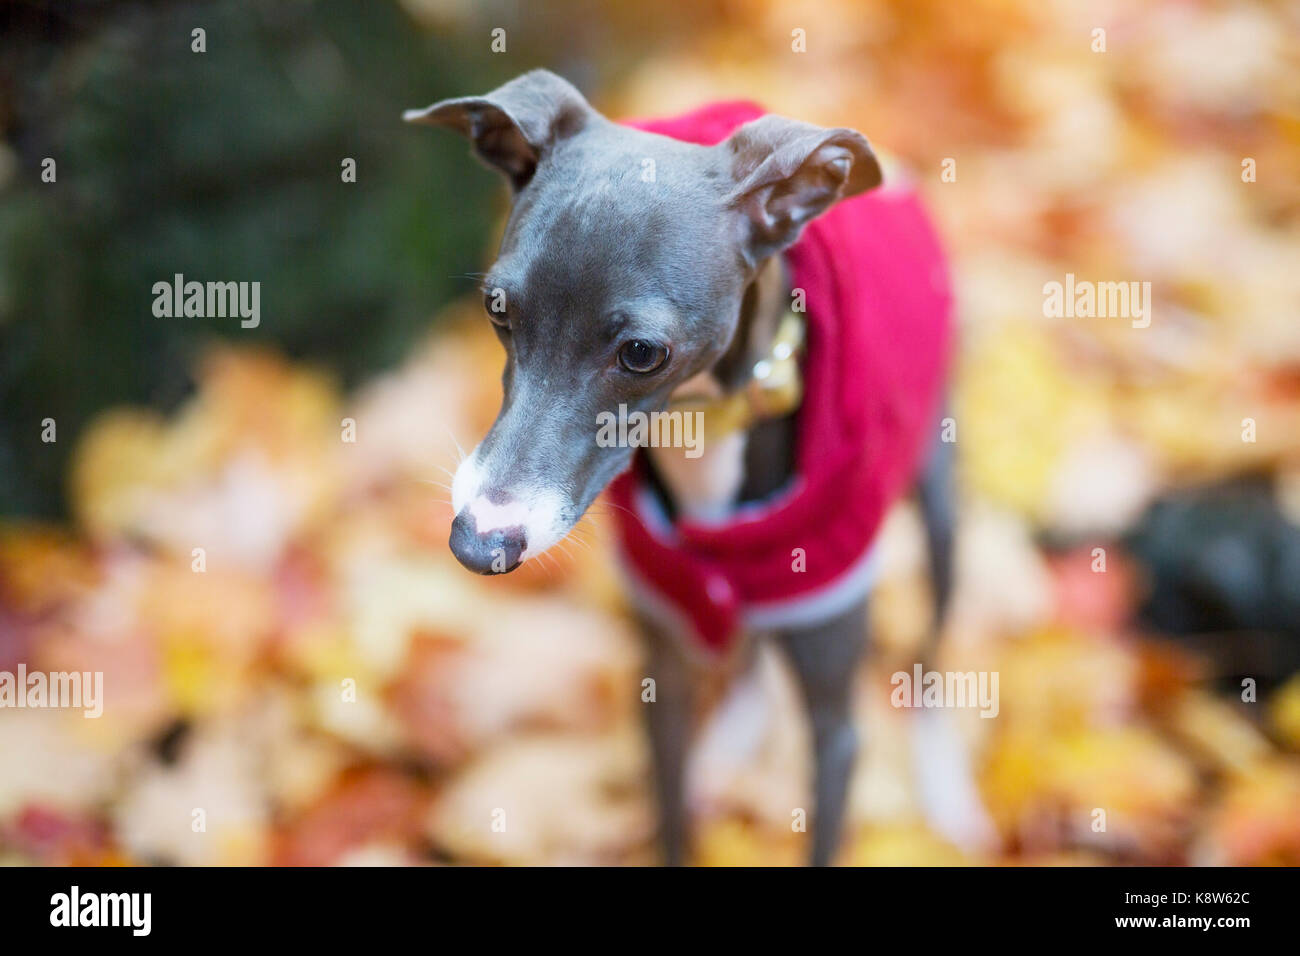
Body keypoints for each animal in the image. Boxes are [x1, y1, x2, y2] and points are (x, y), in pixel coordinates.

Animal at [405, 69, 982, 868]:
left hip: (940, 502)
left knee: (929, 646)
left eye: (642, 353)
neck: (707, 438)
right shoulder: (662, 682)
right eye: (497, 308)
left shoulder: (836, 728)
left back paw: (944, 786)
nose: (477, 542)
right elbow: (673, 815)